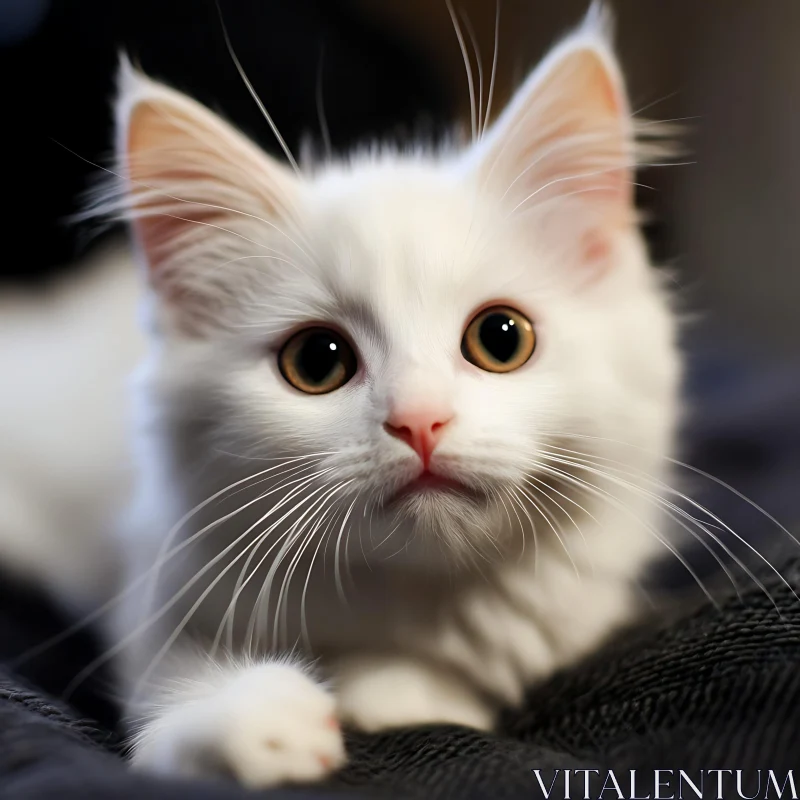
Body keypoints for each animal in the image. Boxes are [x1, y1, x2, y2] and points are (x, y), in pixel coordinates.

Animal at [97, 6, 680, 792]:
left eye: (502, 338)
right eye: (317, 361)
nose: (418, 420)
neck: (418, 602)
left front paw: (394, 693)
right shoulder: (158, 564)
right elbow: (167, 670)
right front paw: (254, 720)